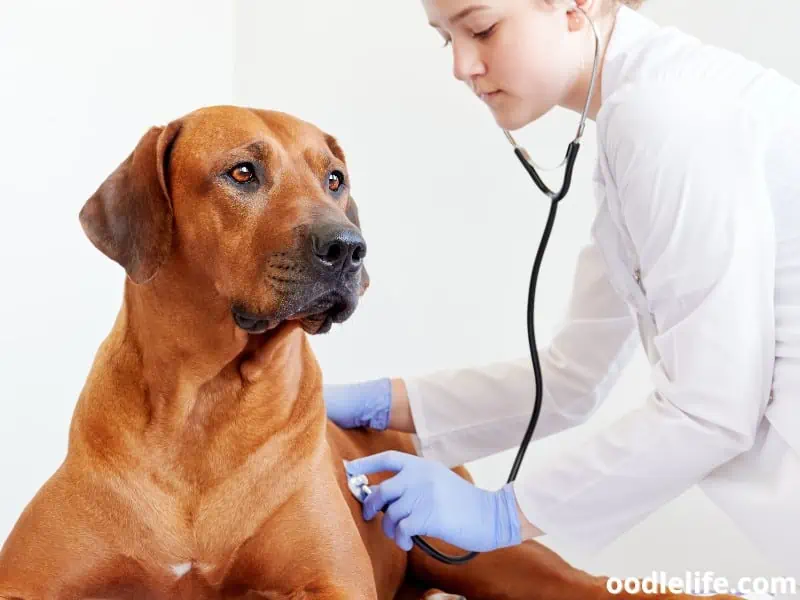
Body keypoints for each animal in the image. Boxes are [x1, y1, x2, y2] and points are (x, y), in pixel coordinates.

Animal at [0, 108, 736, 600]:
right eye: (242, 172)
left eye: (333, 179)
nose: (349, 247)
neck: (204, 405)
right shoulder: (31, 578)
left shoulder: (334, 579)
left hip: (490, 557)